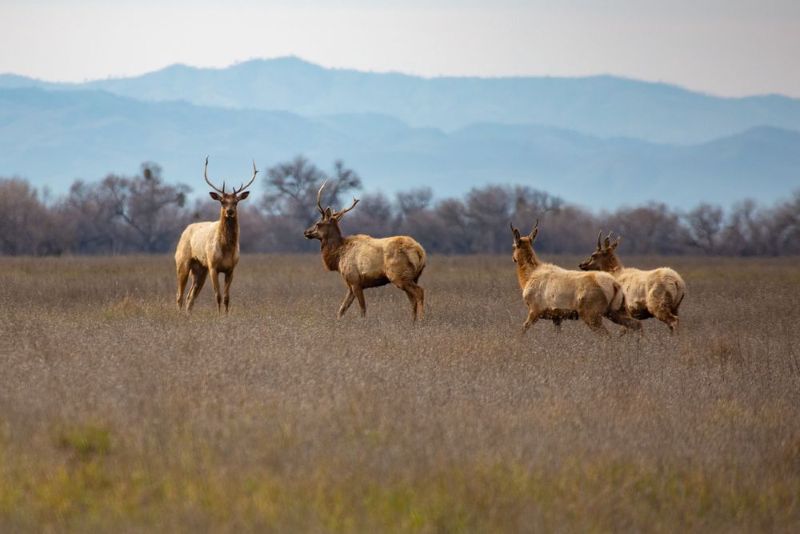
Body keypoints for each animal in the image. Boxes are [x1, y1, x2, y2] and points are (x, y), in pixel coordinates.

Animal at [175, 157, 257, 314]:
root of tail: (184, 231)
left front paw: (225, 316)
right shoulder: (213, 266)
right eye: (222, 201)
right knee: (179, 295)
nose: (229, 212)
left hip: (200, 268)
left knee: (190, 296)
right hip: (183, 262)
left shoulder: (231, 268)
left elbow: (226, 298)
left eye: (236, 202)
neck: (226, 249)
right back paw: (179, 315)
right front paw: (218, 316)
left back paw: (188, 315)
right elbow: (217, 296)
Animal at [303, 181, 426, 321]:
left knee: (419, 292)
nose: (306, 232)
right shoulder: (350, 284)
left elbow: (362, 309)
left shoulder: (355, 280)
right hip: (413, 276)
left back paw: (422, 320)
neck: (338, 257)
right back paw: (413, 321)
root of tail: (420, 252)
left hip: (399, 275)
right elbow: (341, 310)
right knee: (412, 299)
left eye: (318, 224)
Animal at [510, 220, 641, 335]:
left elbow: (521, 331)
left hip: (591, 313)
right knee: (637, 324)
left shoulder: (535, 309)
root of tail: (616, 285)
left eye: (513, 246)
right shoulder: (556, 316)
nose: (513, 258)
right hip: (616, 310)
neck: (527, 278)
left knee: (608, 335)